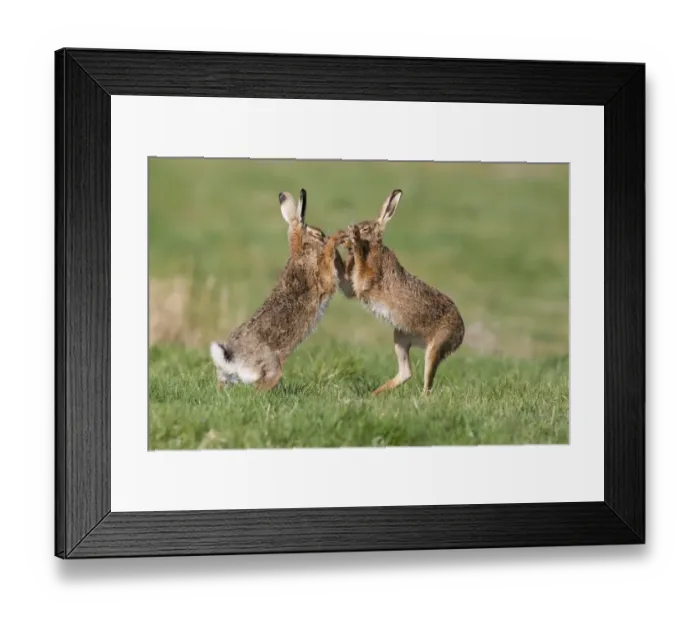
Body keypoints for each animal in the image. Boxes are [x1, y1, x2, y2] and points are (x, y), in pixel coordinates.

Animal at [209, 188, 353, 391]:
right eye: (318, 233)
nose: (325, 236)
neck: (301, 249)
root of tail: (233, 360)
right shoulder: (323, 278)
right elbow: (327, 268)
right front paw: (336, 239)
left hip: (227, 377)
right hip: (272, 369)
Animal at [341, 189, 465, 396]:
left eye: (366, 229)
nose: (344, 238)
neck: (373, 247)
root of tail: (461, 332)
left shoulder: (369, 277)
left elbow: (362, 272)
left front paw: (355, 244)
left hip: (436, 345)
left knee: (427, 382)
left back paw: (421, 399)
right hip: (401, 337)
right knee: (406, 373)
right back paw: (374, 394)